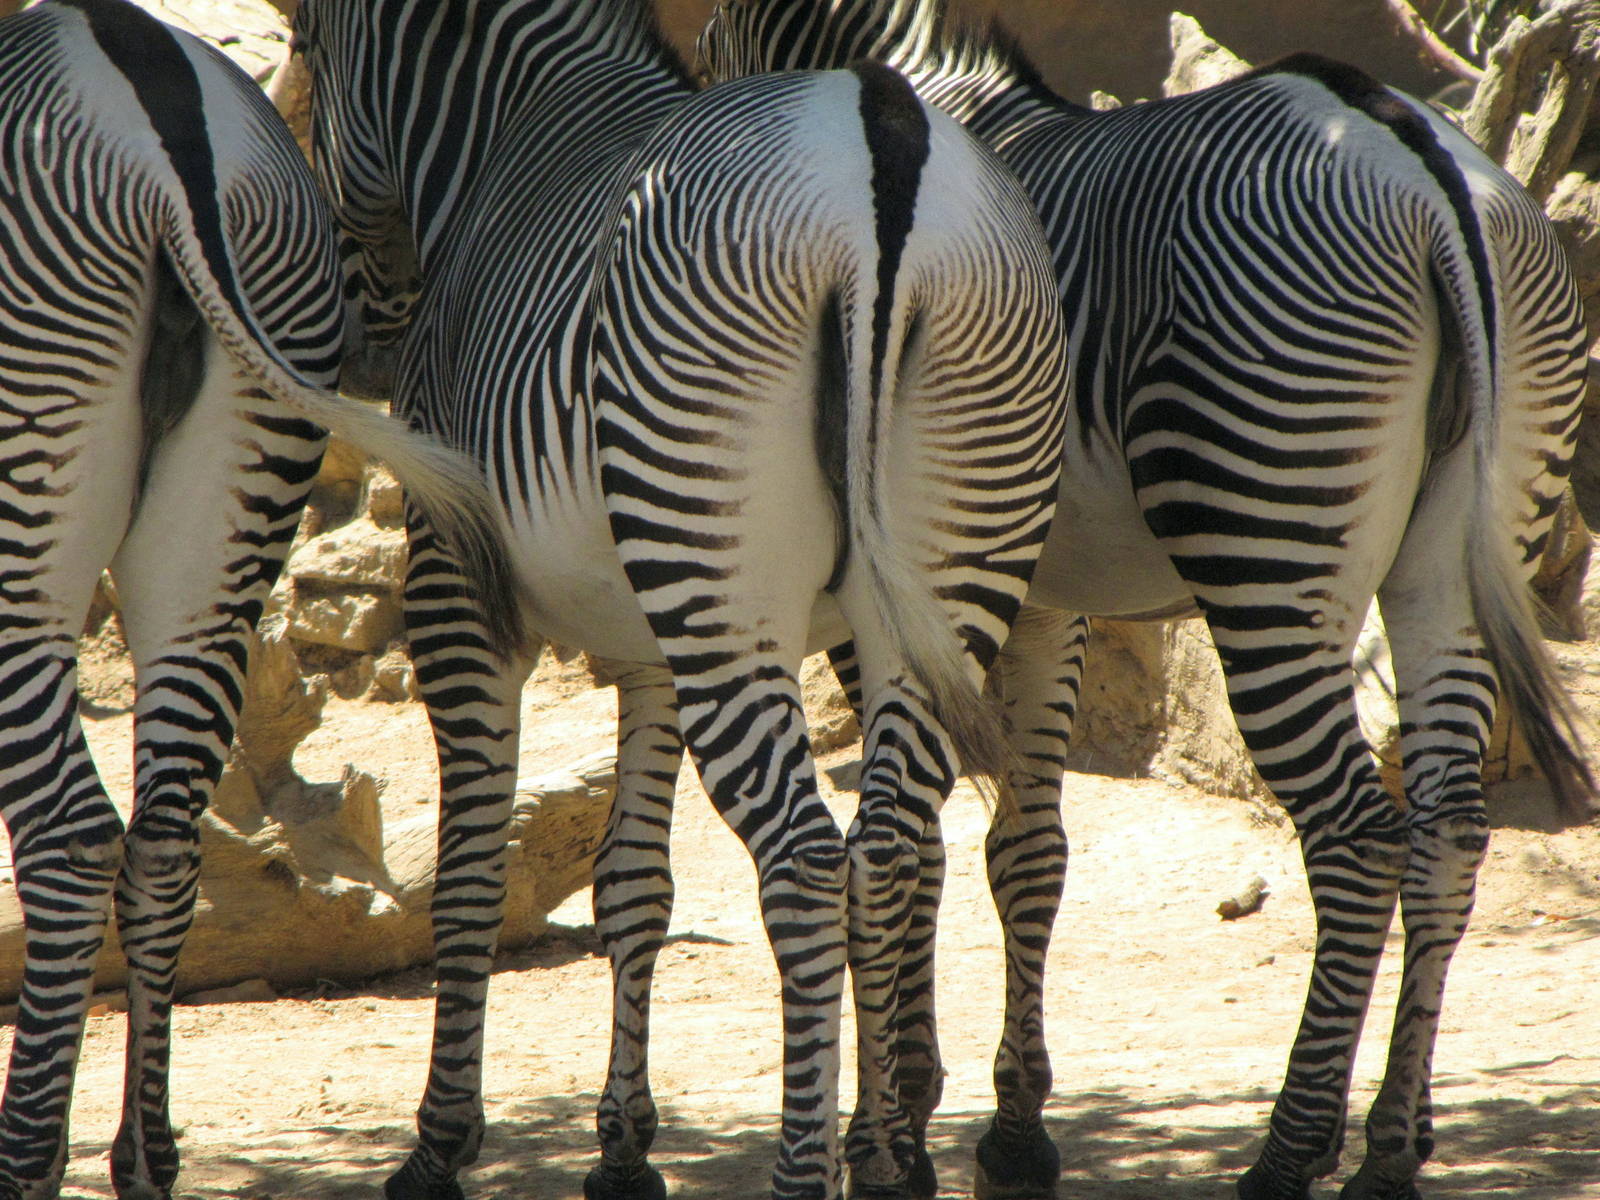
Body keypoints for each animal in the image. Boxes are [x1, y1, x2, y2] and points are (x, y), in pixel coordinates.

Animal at [0, 2, 513, 1197]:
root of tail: (165, 147)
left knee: (72, 837)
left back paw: (30, 1157)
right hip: (230, 509)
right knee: (164, 842)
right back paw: (143, 1155)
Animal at [289, 0, 1071, 1196]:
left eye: (302, 59)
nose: (356, 347)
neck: (511, 131)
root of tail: (883, 126)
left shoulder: (457, 591)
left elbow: (468, 877)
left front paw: (438, 1145)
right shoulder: (649, 648)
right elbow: (633, 887)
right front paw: (620, 1147)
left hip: (717, 572)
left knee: (806, 863)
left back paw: (805, 1166)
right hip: (944, 567)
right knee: (891, 849)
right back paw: (885, 1160)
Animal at [694, 3, 1594, 1198]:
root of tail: (1415, 152)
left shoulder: (914, 603)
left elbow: (918, 839)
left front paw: (898, 1123)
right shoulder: (1042, 601)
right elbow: (1024, 851)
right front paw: (1012, 1126)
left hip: (1267, 530)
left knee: (1357, 834)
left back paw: (1288, 1148)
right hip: (1459, 550)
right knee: (1448, 826)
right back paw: (1389, 1149)